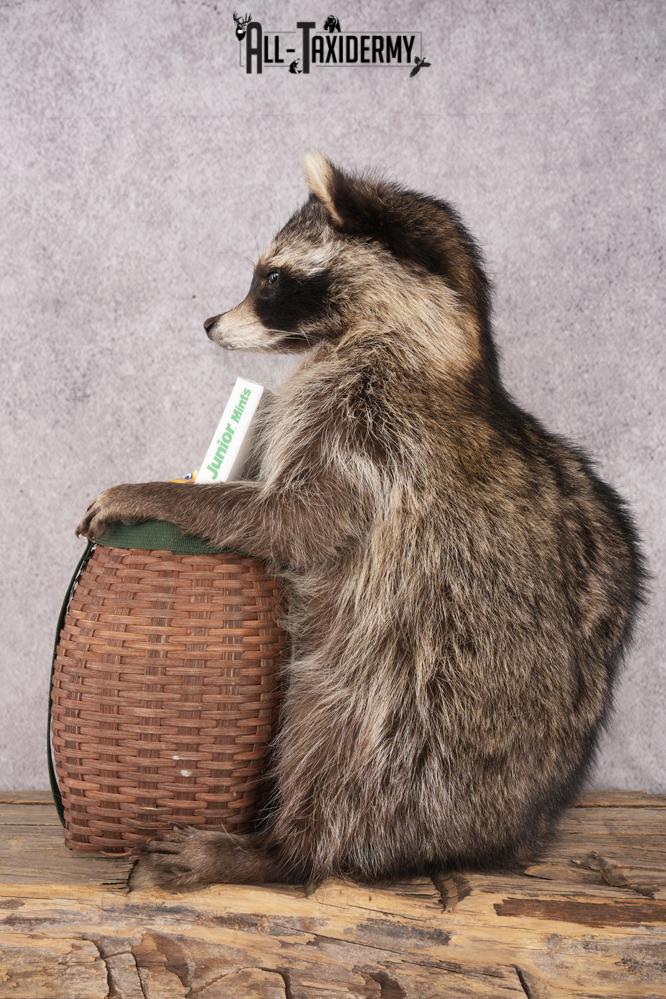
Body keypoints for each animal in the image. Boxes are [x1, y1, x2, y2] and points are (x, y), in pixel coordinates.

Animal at [78, 153, 645, 891]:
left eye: (271, 279)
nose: (208, 323)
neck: (425, 338)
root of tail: (488, 835)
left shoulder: (370, 432)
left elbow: (292, 522)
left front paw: (151, 494)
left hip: (407, 704)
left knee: (336, 740)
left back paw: (281, 846)